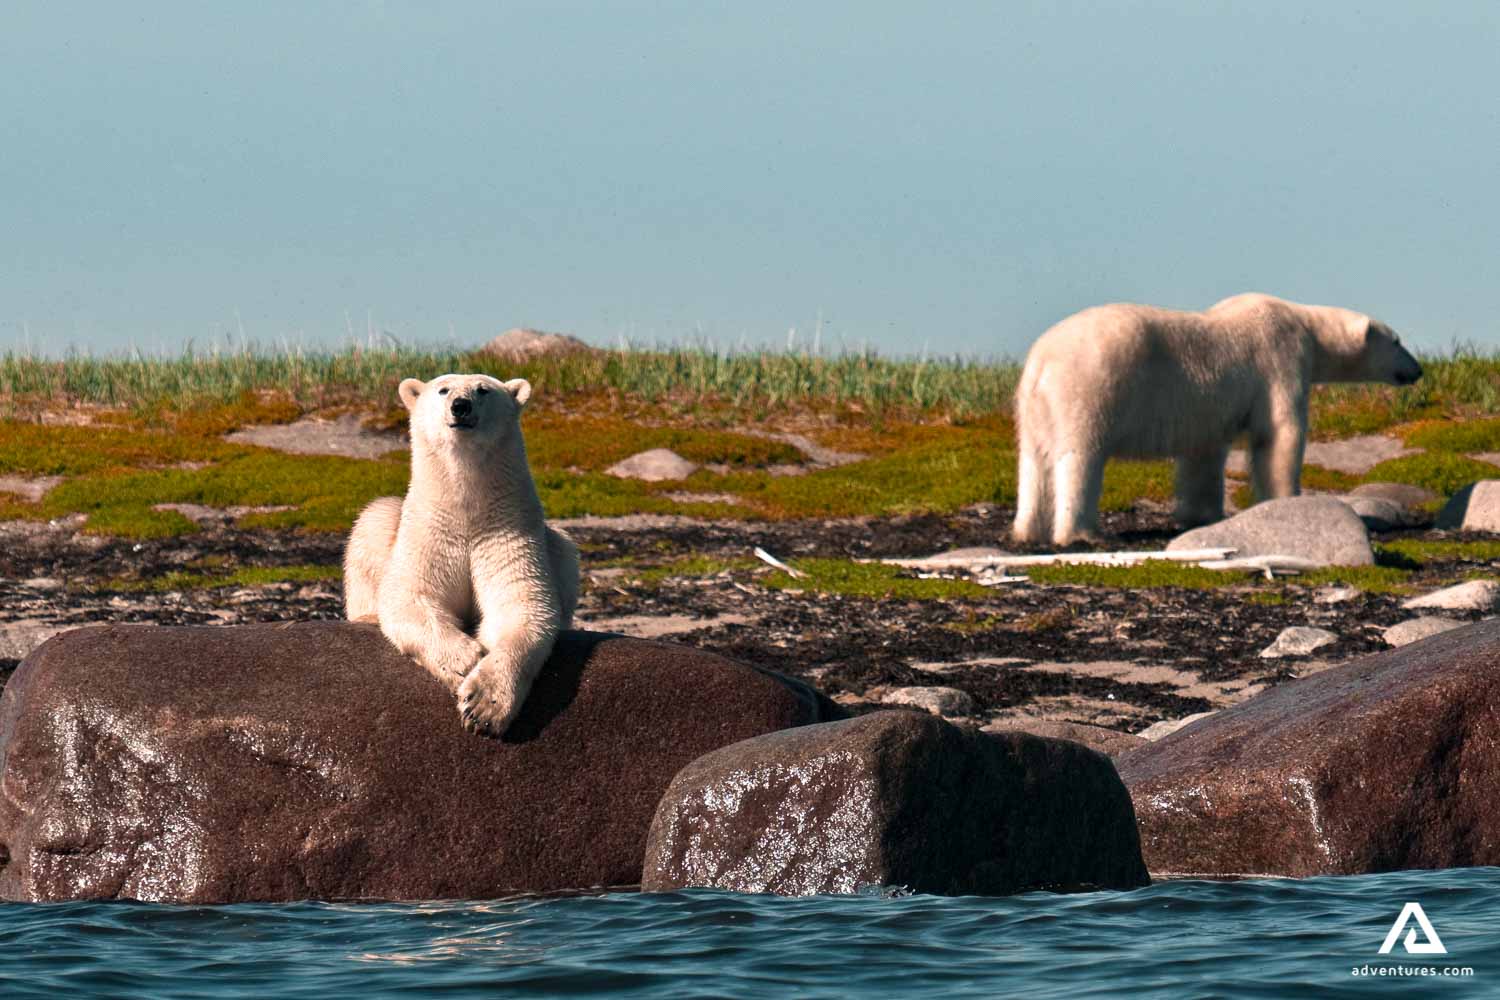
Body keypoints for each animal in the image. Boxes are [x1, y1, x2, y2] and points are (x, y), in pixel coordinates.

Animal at [344, 373, 580, 737]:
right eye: (443, 389)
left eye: (483, 390)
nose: (461, 406)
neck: (467, 511)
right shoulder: (429, 533)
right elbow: (410, 596)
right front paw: (462, 660)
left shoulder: (509, 533)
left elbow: (523, 608)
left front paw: (484, 704)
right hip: (385, 526)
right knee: (375, 518)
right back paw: (367, 616)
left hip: (557, 544)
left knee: (566, 550)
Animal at [1011, 293, 1422, 546]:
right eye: (1398, 341)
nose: (1418, 370)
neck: (1304, 323)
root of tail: (1042, 359)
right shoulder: (1280, 359)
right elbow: (1280, 434)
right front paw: (1286, 498)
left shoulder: (1205, 409)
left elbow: (1203, 455)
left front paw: (1202, 515)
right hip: (1090, 387)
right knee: (1080, 455)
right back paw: (1081, 533)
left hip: (1032, 406)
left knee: (1033, 461)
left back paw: (1026, 529)